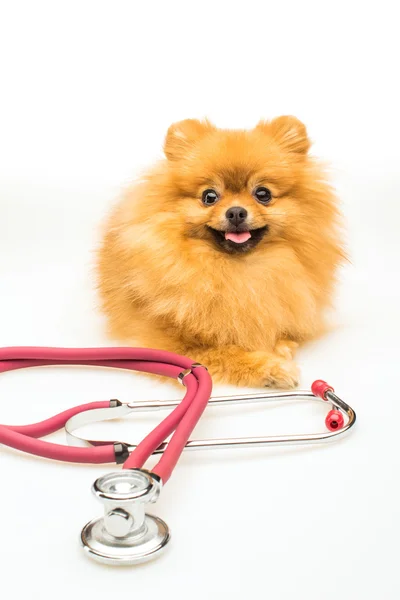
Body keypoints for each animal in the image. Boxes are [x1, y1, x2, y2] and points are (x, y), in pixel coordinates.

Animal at [96, 117, 344, 390]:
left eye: (263, 194)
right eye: (209, 196)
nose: (236, 212)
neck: (237, 270)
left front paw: (281, 346)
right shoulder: (167, 342)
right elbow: (224, 353)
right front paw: (272, 368)